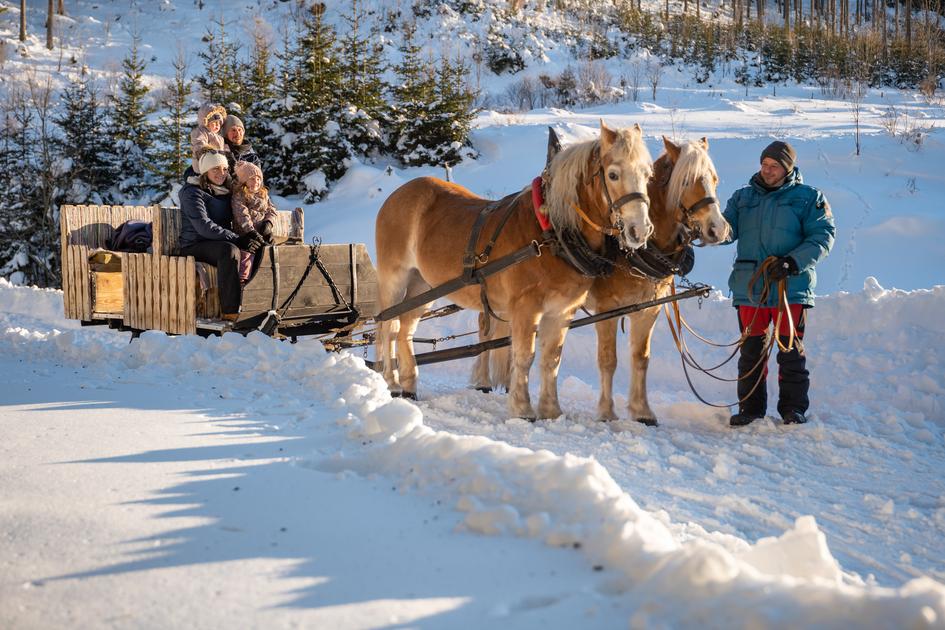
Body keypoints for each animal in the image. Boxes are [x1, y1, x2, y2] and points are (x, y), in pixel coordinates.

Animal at [374, 121, 654, 420]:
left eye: (648, 175)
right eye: (613, 174)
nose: (640, 231)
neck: (551, 234)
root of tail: (399, 192)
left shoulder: (562, 311)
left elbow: (552, 359)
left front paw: (551, 410)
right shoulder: (525, 307)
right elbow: (524, 356)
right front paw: (522, 408)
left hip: (424, 284)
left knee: (405, 327)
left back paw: (409, 383)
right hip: (394, 276)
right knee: (389, 325)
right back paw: (392, 382)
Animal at [471, 136, 729, 426]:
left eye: (715, 180)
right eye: (685, 181)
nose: (718, 229)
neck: (637, 252)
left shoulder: (648, 310)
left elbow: (641, 359)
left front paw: (642, 411)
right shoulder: (608, 308)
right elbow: (608, 360)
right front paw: (607, 413)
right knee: (485, 328)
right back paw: (483, 381)